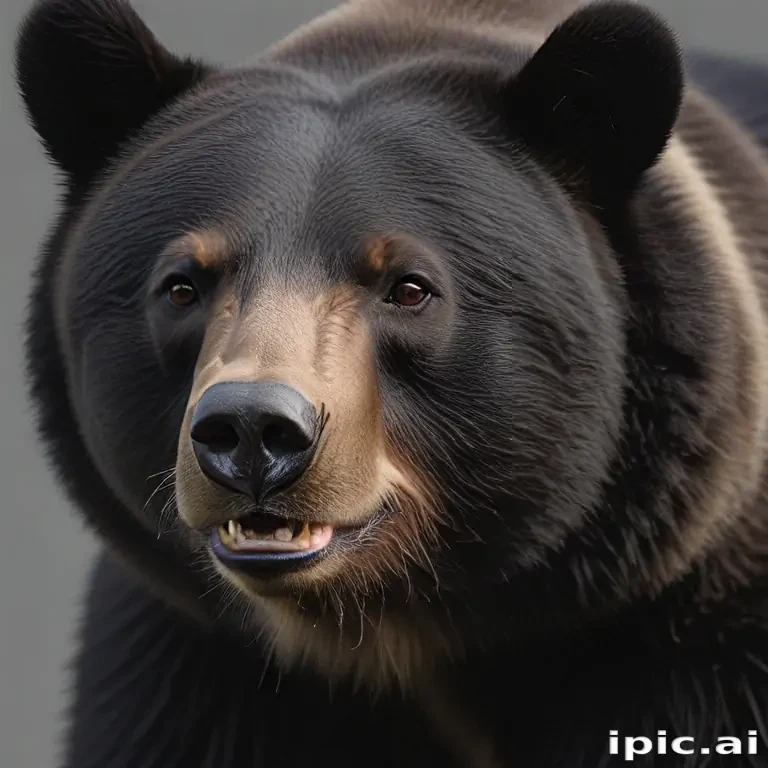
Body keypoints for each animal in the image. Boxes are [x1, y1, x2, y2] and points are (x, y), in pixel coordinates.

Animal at [14, 0, 768, 765]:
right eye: (181, 286)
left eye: (408, 288)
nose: (253, 430)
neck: (397, 633)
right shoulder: (185, 666)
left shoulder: (691, 651)